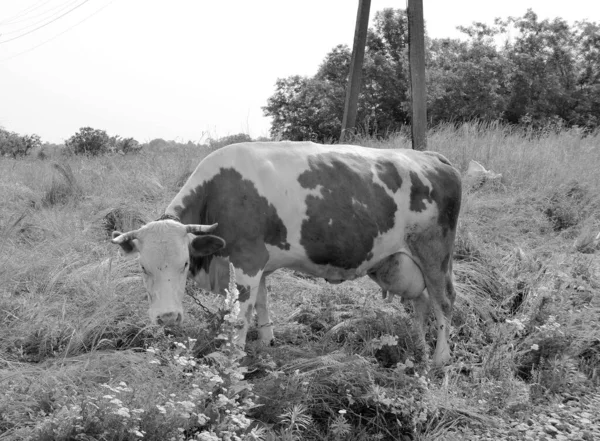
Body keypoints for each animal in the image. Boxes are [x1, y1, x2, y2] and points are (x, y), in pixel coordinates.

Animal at [110, 141, 462, 364]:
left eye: (184, 264)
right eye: (142, 268)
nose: (167, 317)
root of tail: (432, 157)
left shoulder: (247, 260)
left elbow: (241, 314)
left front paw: (232, 359)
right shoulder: (259, 264)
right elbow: (262, 303)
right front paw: (267, 342)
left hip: (434, 253)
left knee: (444, 301)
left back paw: (440, 359)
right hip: (401, 264)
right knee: (422, 302)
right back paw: (420, 348)